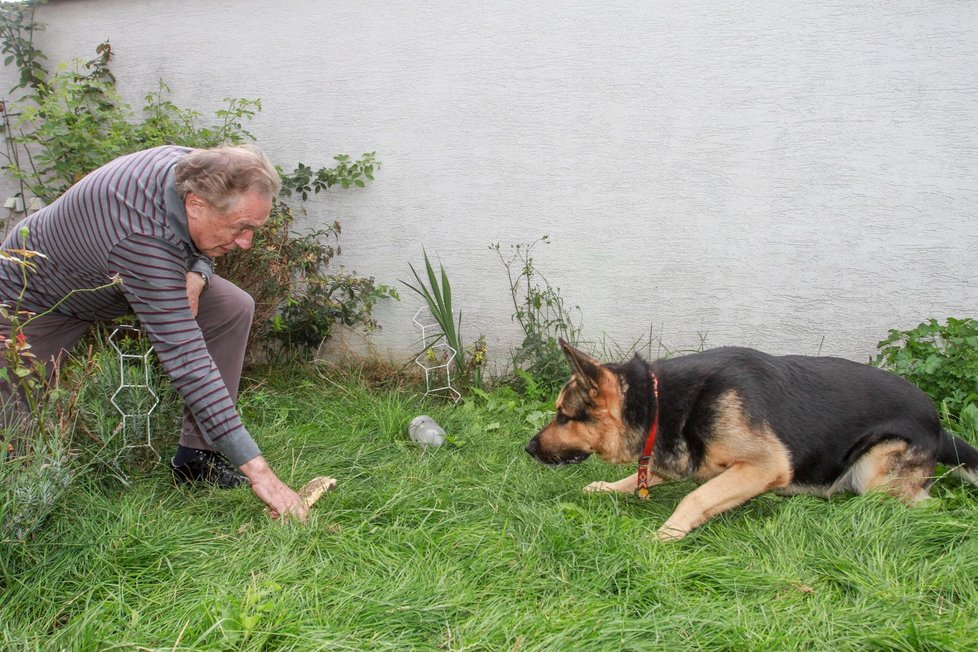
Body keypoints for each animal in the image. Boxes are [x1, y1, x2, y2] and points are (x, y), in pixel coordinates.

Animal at [524, 342, 976, 540]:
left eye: (563, 416)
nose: (527, 449)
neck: (658, 403)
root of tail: (938, 425)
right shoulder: (681, 456)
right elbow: (644, 476)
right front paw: (605, 487)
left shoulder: (764, 466)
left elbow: (697, 497)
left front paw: (666, 534)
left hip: (874, 472)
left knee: (923, 505)